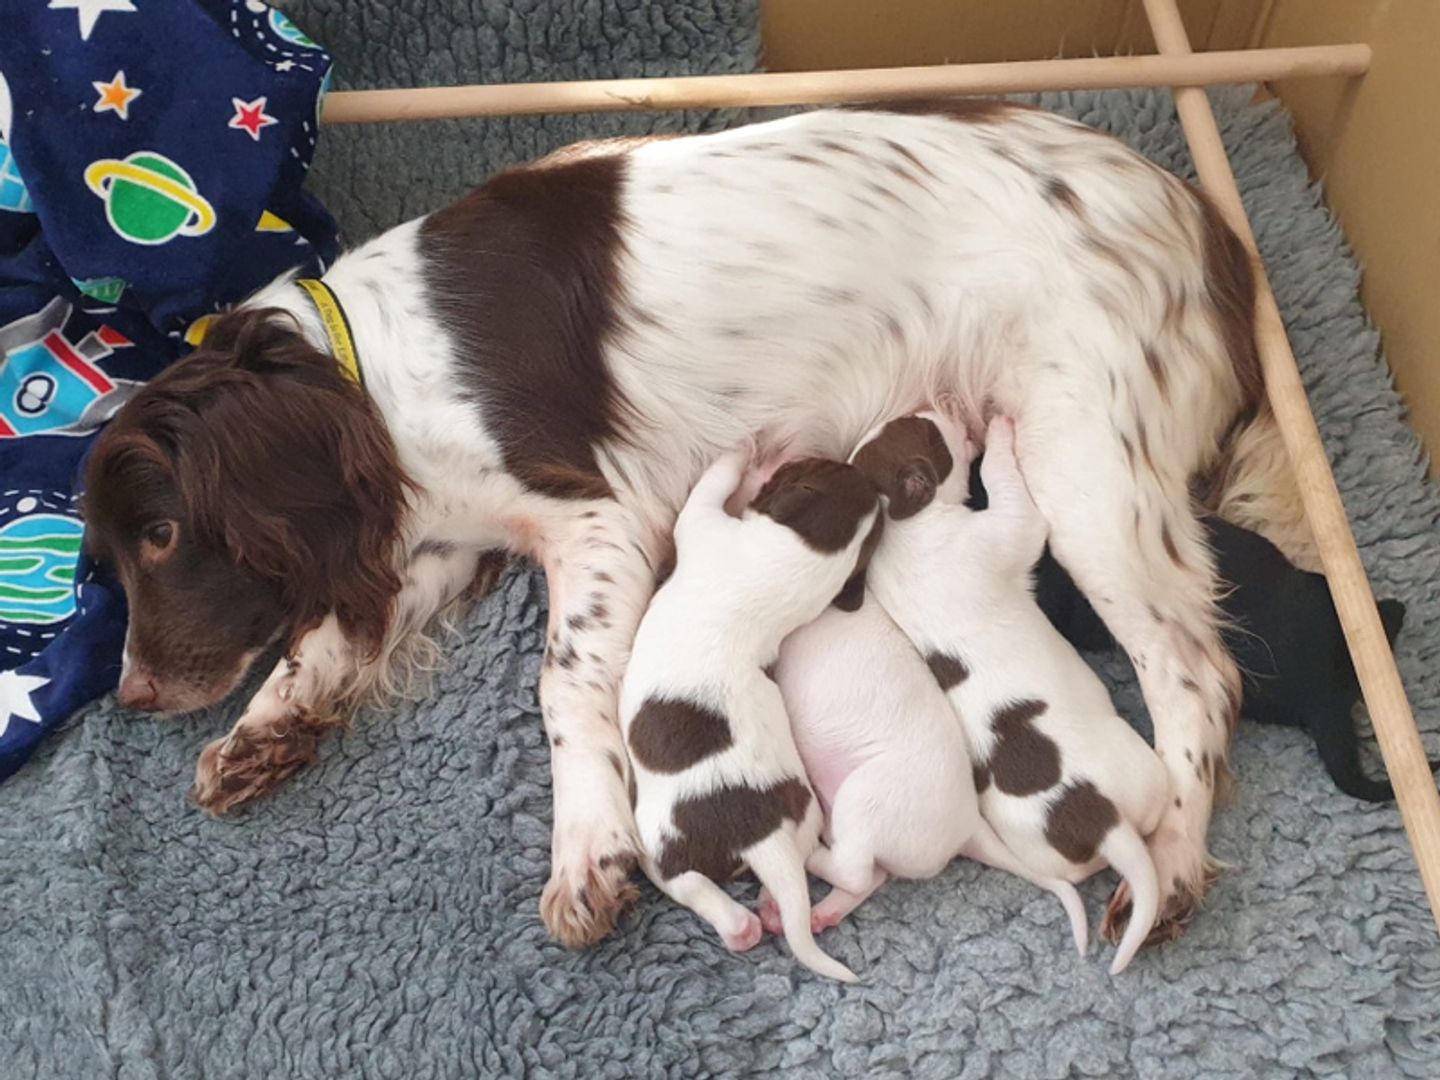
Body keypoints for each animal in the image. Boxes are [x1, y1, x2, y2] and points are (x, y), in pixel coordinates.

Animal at [616, 443, 881, 984]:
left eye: (816, 469)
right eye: (840, 471)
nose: (851, 464)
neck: (783, 574)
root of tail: (764, 838)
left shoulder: (701, 525)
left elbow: (712, 484)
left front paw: (751, 460)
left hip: (658, 836)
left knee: (686, 882)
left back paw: (738, 925)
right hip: (806, 823)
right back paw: (775, 909)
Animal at [852, 408, 1169, 979]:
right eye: (928, 432)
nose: (940, 409)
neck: (896, 527)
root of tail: (1103, 822)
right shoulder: (999, 531)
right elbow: (1008, 490)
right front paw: (1000, 434)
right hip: (1143, 768)